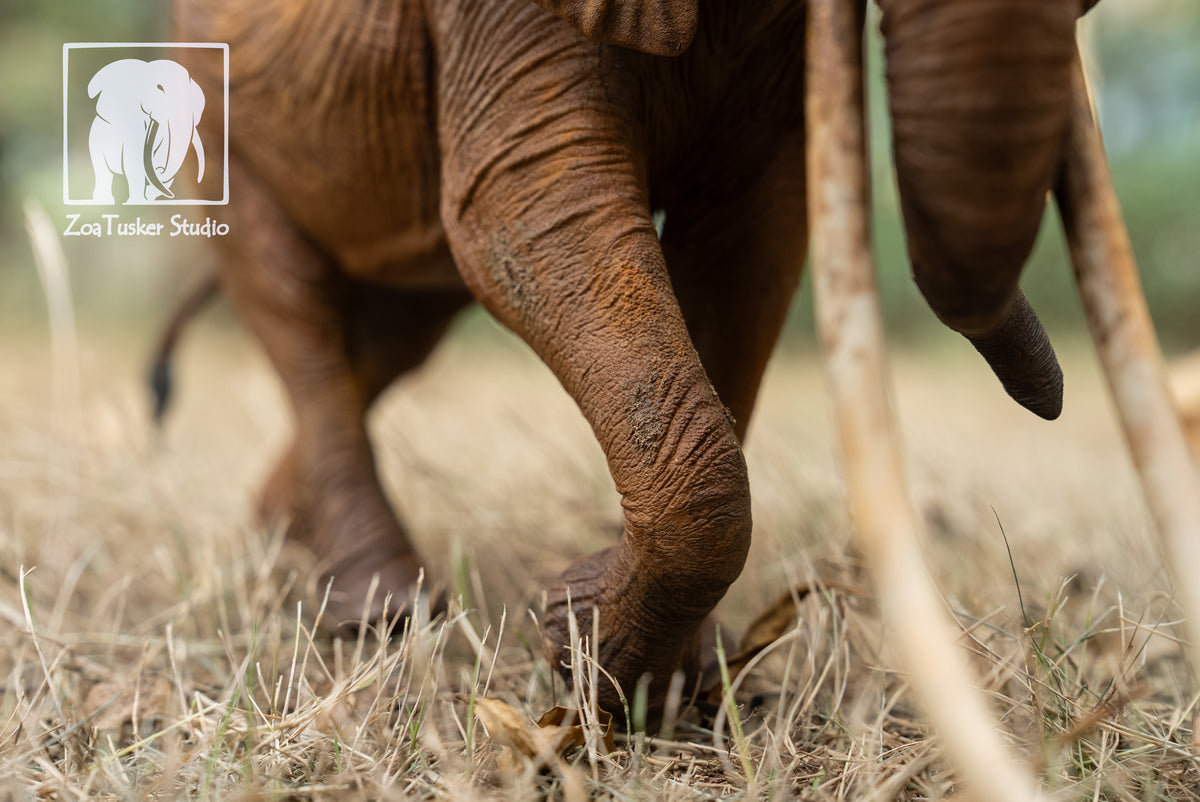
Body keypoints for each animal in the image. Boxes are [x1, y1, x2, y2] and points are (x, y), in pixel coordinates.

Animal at [166, 0, 1169, 732]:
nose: (1047, 400)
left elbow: (751, 236)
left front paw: (652, 675)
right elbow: (528, 210)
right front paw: (587, 650)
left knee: (393, 338)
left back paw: (285, 539)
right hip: (221, 113)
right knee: (296, 312)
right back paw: (377, 613)